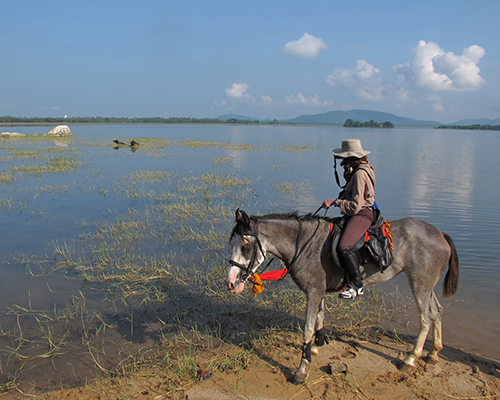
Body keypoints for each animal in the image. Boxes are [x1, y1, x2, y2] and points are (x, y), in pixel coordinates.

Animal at [225, 208, 458, 382]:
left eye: (246, 245)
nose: (230, 282)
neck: (304, 244)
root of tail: (440, 234)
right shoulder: (317, 291)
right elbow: (319, 319)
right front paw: (316, 346)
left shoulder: (313, 292)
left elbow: (307, 329)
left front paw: (301, 371)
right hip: (426, 286)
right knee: (436, 311)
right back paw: (433, 353)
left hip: (419, 284)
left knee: (425, 318)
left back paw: (411, 358)